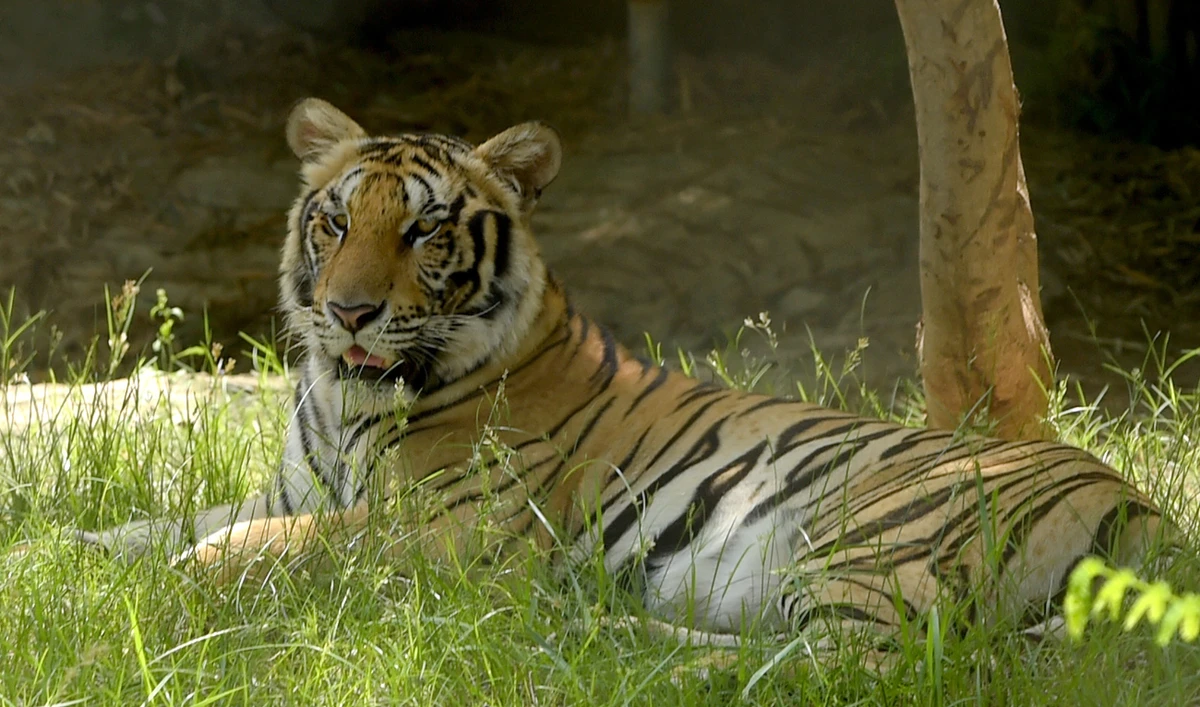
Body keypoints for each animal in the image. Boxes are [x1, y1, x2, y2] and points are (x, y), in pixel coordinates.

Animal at [80, 97, 1163, 663]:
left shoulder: (448, 527)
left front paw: (189, 578)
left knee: (843, 670)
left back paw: (599, 633)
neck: (349, 397)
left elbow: (271, 543)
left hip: (872, 536)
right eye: (336, 222)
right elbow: (159, 524)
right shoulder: (286, 487)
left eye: (425, 230)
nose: (347, 312)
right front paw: (68, 550)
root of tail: (1148, 511)